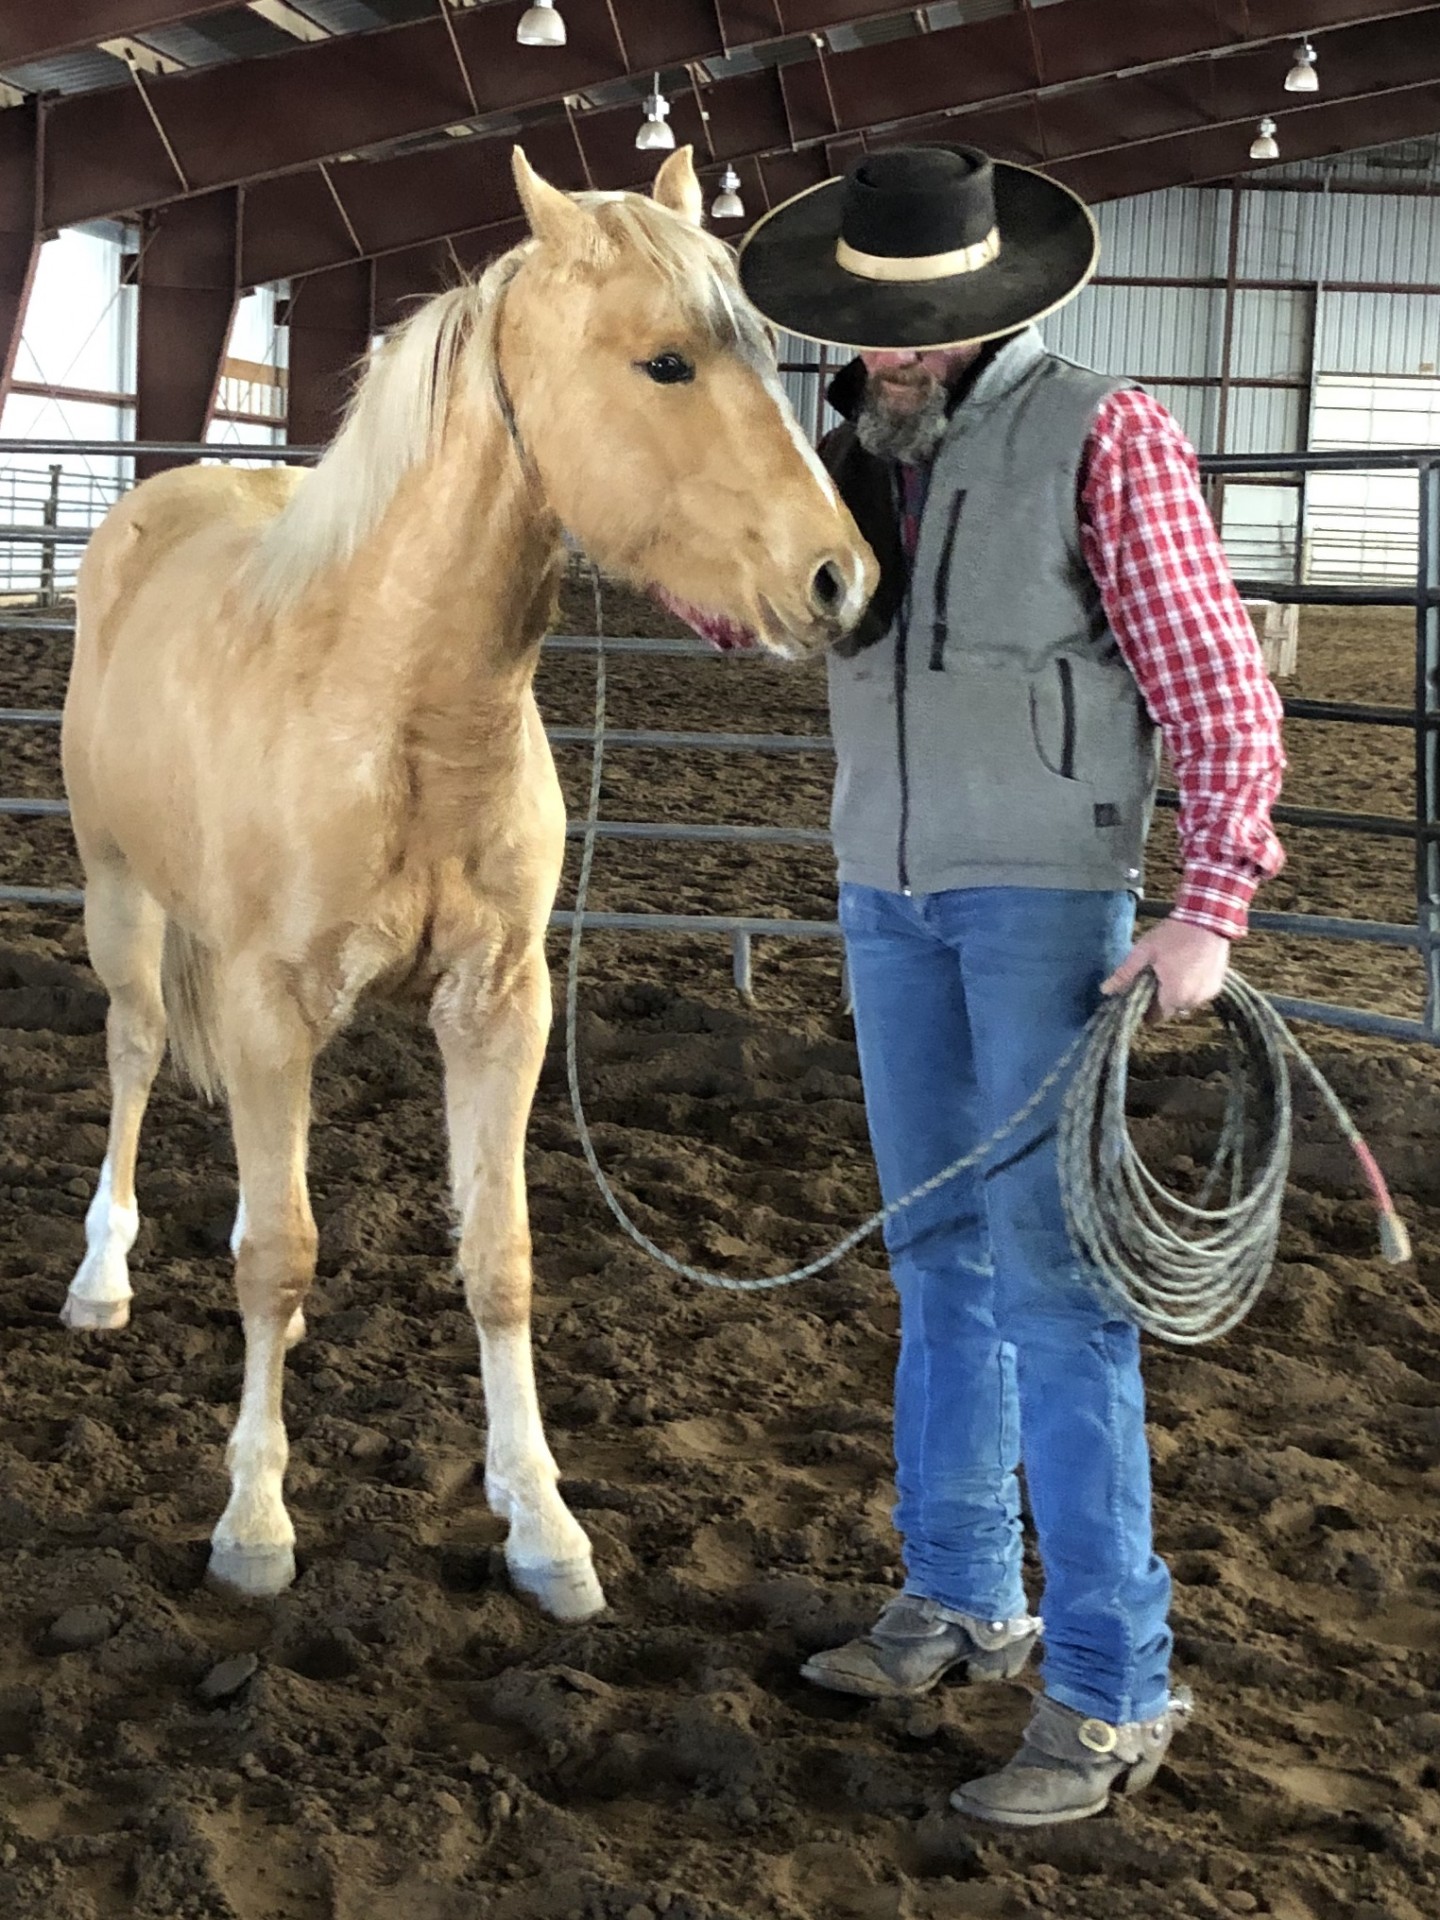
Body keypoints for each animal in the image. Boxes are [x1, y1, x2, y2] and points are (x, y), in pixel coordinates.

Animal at [57, 146, 876, 1623]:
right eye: (665, 361)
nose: (840, 579)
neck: (392, 705)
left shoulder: (498, 1008)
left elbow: (497, 1261)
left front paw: (543, 1525)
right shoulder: (267, 1005)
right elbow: (282, 1257)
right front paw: (253, 1521)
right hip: (118, 897)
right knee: (138, 1051)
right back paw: (102, 1276)